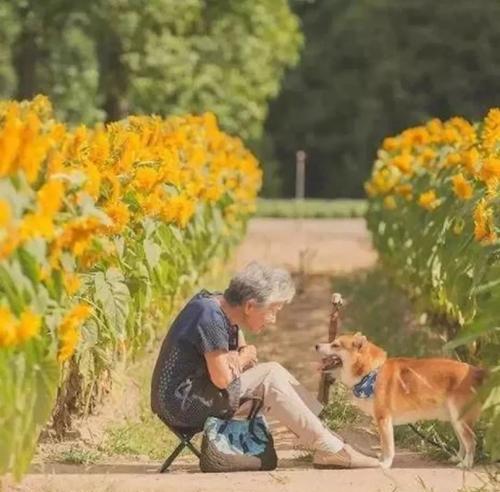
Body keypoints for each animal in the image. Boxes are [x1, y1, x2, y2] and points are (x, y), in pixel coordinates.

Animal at [316, 332, 484, 468]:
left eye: (335, 345)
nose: (316, 345)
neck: (371, 373)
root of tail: (475, 371)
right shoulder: (382, 422)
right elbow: (384, 445)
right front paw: (382, 459)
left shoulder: (384, 419)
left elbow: (388, 446)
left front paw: (386, 463)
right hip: (456, 421)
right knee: (463, 443)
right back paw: (458, 458)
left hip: (461, 420)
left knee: (471, 442)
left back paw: (466, 464)